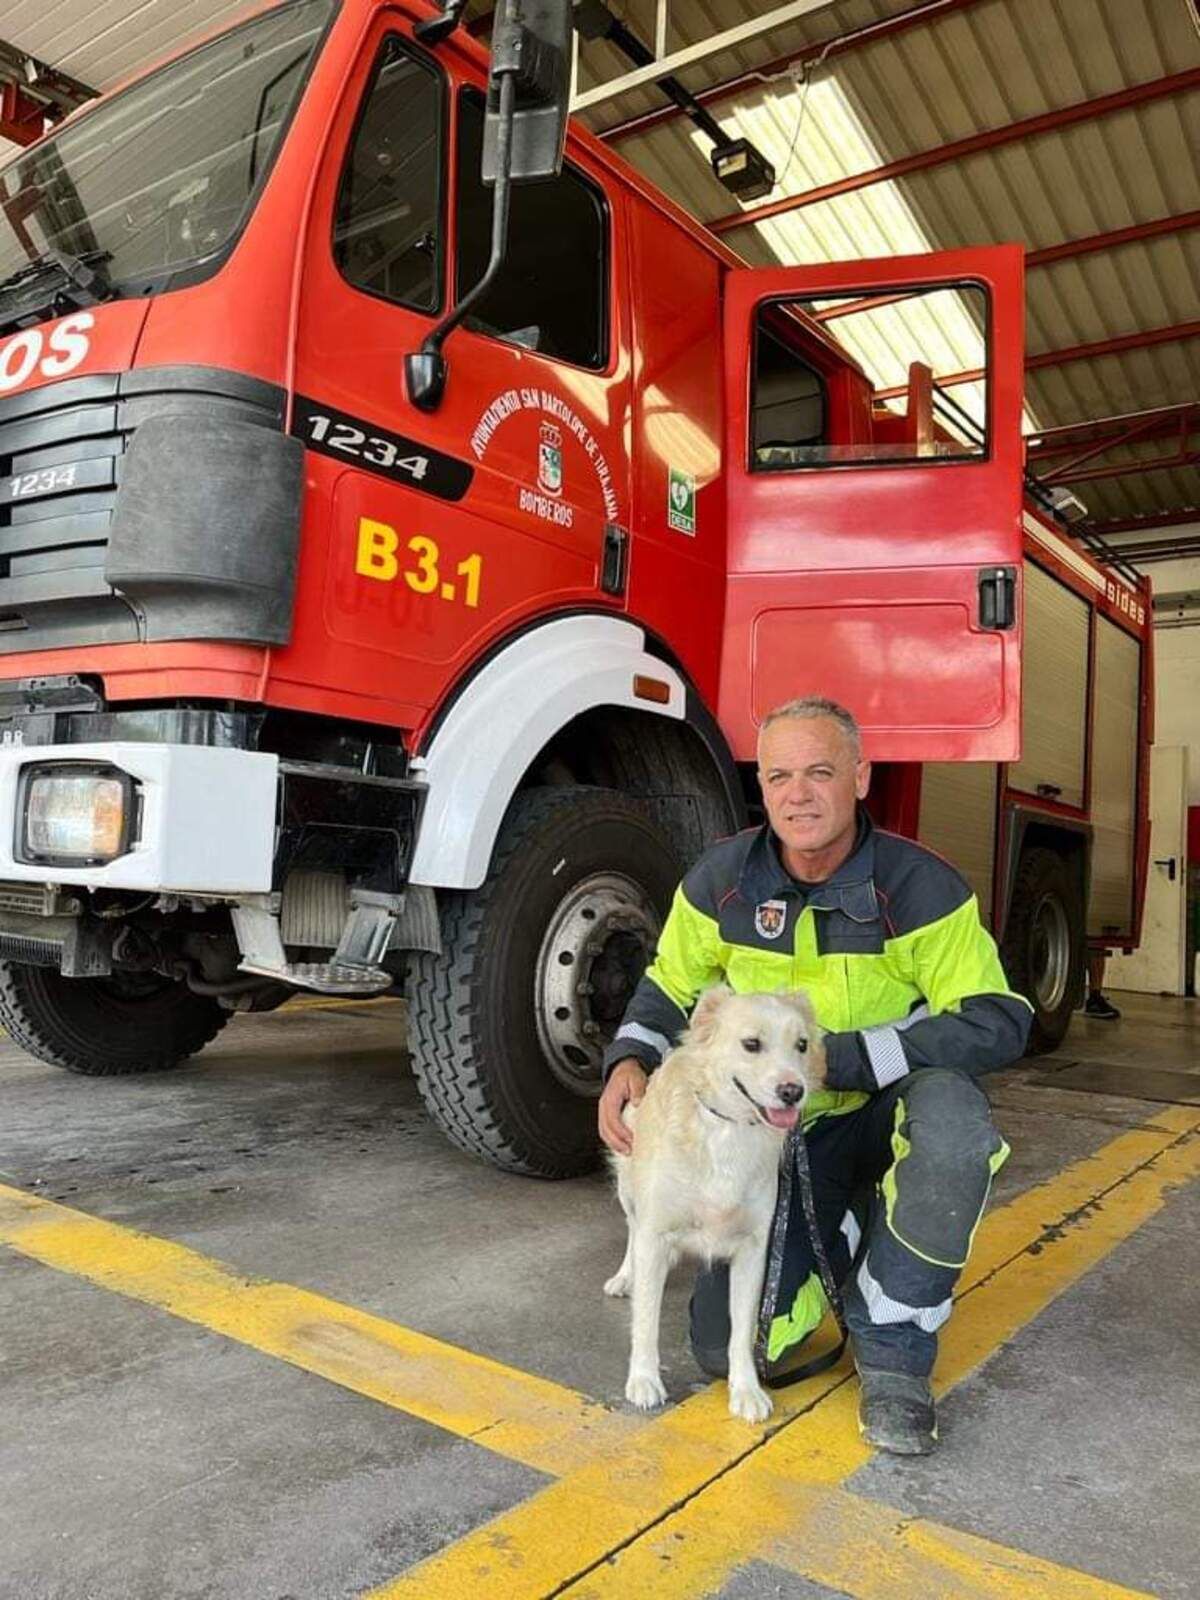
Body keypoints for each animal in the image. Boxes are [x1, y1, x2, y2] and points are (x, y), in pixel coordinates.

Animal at [611, 985, 825, 1427]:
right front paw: (644, 1379)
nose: (793, 1091)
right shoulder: (656, 1236)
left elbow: (741, 1332)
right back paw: (625, 1276)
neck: (728, 1130)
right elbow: (646, 1320)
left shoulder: (754, 1251)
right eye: (751, 1044)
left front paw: (746, 1390)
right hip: (629, 1191)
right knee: (631, 1231)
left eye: (801, 1045)